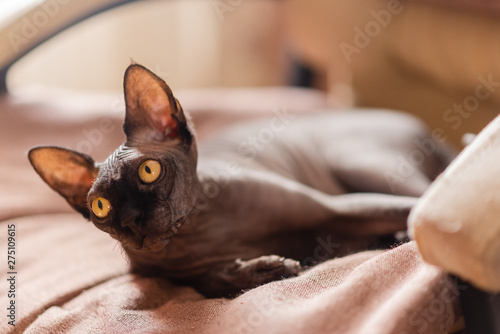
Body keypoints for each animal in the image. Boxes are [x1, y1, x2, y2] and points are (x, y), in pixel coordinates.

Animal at [29, 64, 456, 296]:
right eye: (101, 207)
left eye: (149, 171)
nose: (132, 220)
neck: (201, 231)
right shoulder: (172, 276)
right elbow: (207, 281)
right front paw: (261, 270)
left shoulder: (340, 208)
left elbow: (412, 210)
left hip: (360, 163)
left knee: (427, 194)